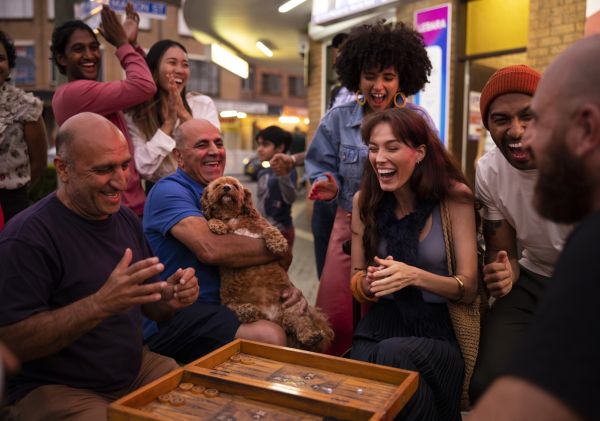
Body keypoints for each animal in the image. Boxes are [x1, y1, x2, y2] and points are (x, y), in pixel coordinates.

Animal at [202, 175, 332, 352]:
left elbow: (271, 230)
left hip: (293, 308)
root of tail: (274, 318)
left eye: (235, 185)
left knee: (302, 324)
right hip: (228, 301)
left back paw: (311, 336)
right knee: (236, 308)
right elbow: (214, 219)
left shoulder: (262, 225)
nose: (227, 187)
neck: (233, 218)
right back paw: (247, 310)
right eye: (217, 185)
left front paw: (278, 244)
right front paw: (217, 224)